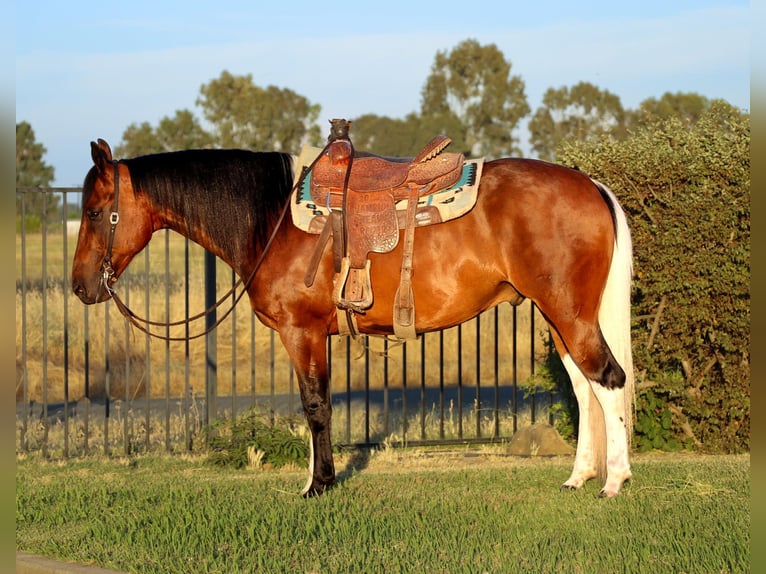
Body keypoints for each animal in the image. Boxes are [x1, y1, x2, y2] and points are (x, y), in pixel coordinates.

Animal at [72, 137, 635, 498]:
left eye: (96, 212)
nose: (80, 286)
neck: (271, 219)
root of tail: (592, 185)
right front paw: (316, 479)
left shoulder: (301, 332)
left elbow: (316, 407)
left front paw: (318, 485)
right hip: (559, 318)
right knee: (584, 387)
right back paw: (579, 477)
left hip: (569, 314)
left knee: (608, 380)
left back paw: (614, 481)